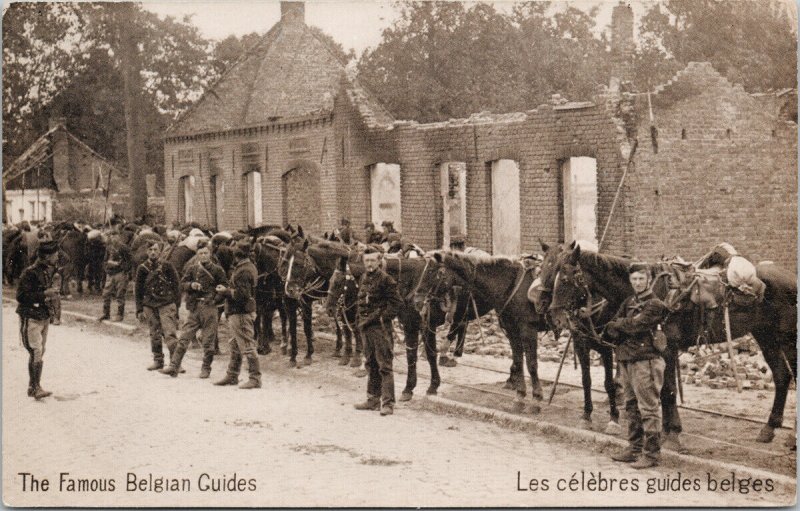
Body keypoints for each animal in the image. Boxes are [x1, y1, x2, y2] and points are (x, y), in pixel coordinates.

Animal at [432, 250, 552, 414]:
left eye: (439, 274)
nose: (426, 298)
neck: (511, 286)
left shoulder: (528, 330)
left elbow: (532, 364)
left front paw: (536, 399)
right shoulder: (512, 330)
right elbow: (518, 362)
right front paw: (519, 397)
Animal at [548, 246, 796, 446]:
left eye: (566, 279)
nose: (556, 317)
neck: (656, 293)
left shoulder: (667, 349)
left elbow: (667, 391)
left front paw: (673, 434)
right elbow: (664, 391)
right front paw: (667, 430)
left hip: (787, 339)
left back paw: (792, 438)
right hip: (766, 336)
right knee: (782, 376)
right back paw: (768, 429)